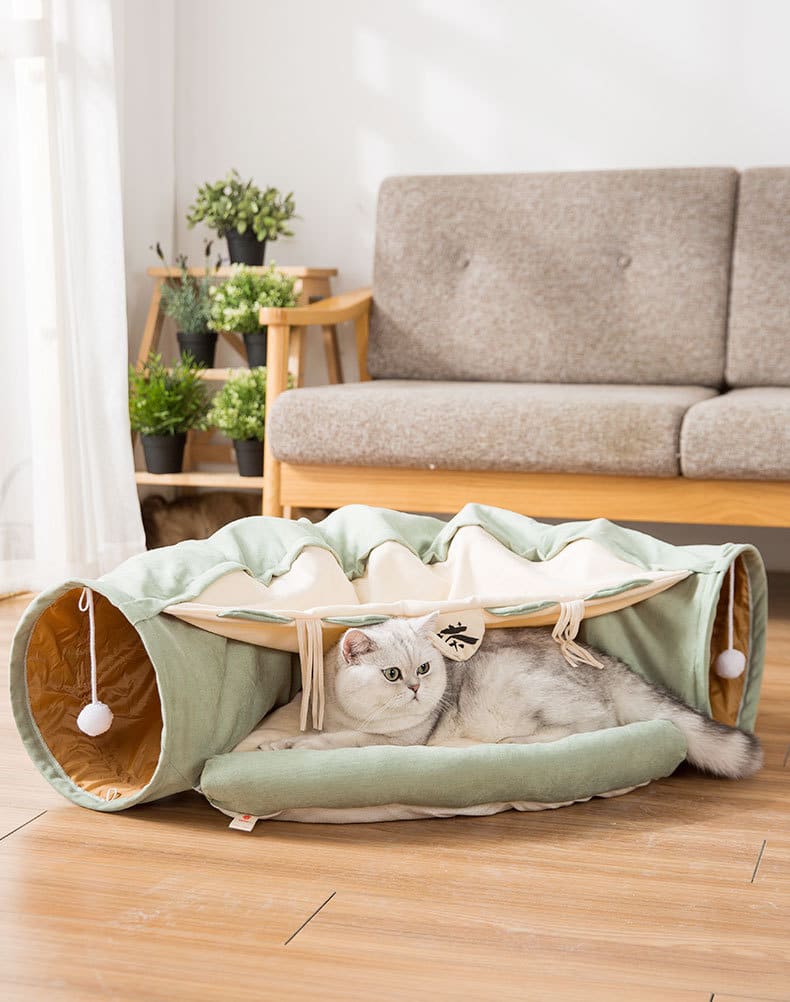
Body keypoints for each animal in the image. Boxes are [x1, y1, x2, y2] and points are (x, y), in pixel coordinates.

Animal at [266, 609, 765, 781]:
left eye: (423, 669)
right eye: (392, 674)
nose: (415, 688)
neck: (353, 715)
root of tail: (608, 667)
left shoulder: (395, 740)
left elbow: (332, 742)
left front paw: (290, 746)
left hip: (521, 687)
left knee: (590, 728)